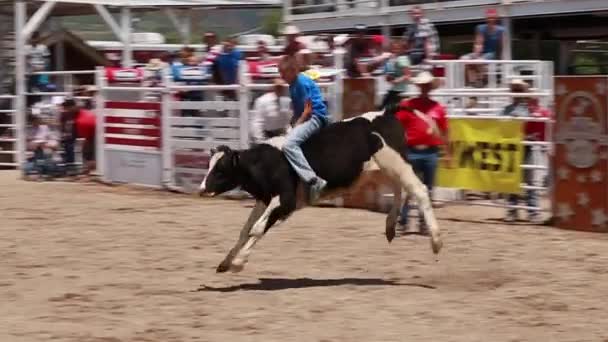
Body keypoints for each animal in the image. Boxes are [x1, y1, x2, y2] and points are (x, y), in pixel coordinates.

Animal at [200, 109, 442, 272]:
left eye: (220, 170)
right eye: (209, 165)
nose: (202, 189)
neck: (265, 162)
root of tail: (386, 113)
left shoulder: (285, 201)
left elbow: (257, 229)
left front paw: (239, 262)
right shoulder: (265, 200)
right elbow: (245, 229)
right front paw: (225, 262)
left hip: (395, 161)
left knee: (419, 190)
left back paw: (436, 242)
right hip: (385, 168)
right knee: (401, 190)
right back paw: (391, 226)